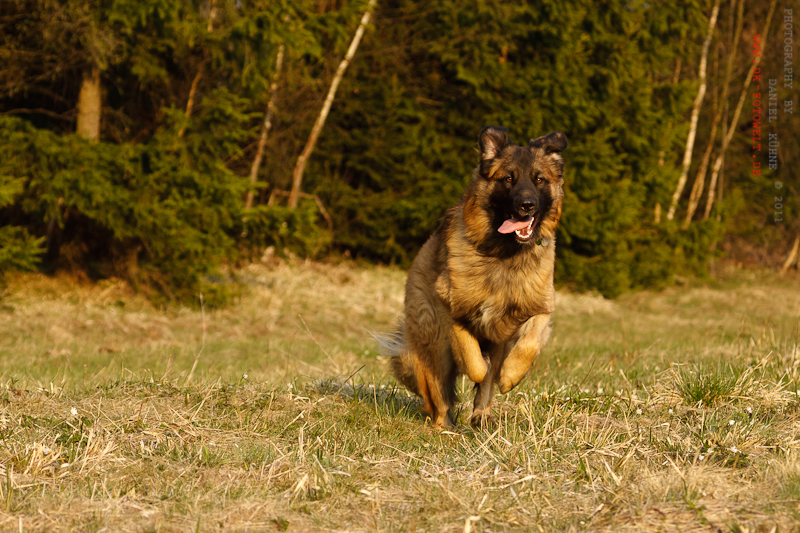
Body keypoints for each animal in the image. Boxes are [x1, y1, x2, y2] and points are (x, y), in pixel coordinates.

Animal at [380, 124, 564, 424]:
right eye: (508, 179)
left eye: (539, 179)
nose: (527, 205)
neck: (504, 253)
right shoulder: (452, 307)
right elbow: (473, 360)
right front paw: (478, 367)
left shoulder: (536, 306)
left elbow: (528, 343)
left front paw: (510, 376)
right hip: (430, 341)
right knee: (439, 395)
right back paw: (444, 425)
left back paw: (481, 416)